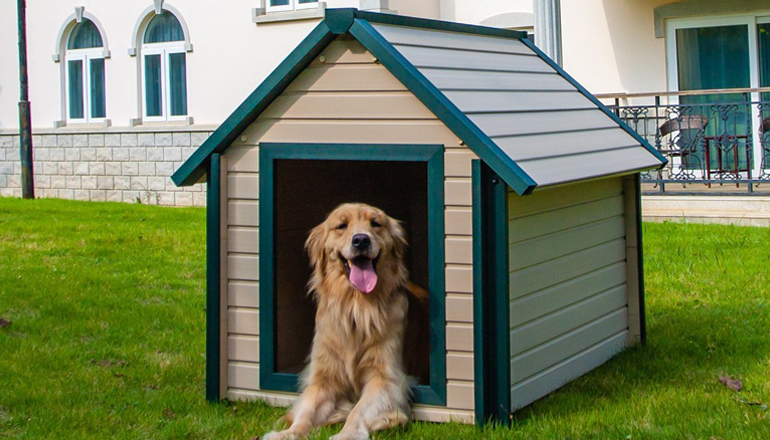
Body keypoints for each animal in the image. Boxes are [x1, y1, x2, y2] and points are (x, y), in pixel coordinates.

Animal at [262, 204, 420, 440]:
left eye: (376, 223)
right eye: (341, 226)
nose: (361, 240)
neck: (356, 306)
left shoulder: (386, 378)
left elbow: (359, 409)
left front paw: (349, 433)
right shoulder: (323, 378)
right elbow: (307, 411)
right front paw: (288, 433)